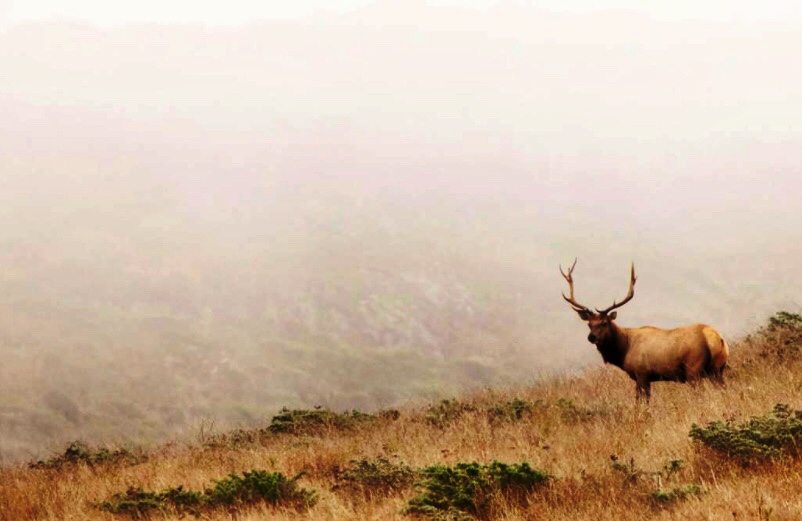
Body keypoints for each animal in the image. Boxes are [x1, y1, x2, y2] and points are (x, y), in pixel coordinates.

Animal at [560, 260, 728, 402]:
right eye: (589, 324)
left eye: (604, 323)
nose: (592, 337)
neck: (623, 351)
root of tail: (715, 337)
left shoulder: (641, 373)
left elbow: (641, 400)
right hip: (718, 368)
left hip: (694, 369)